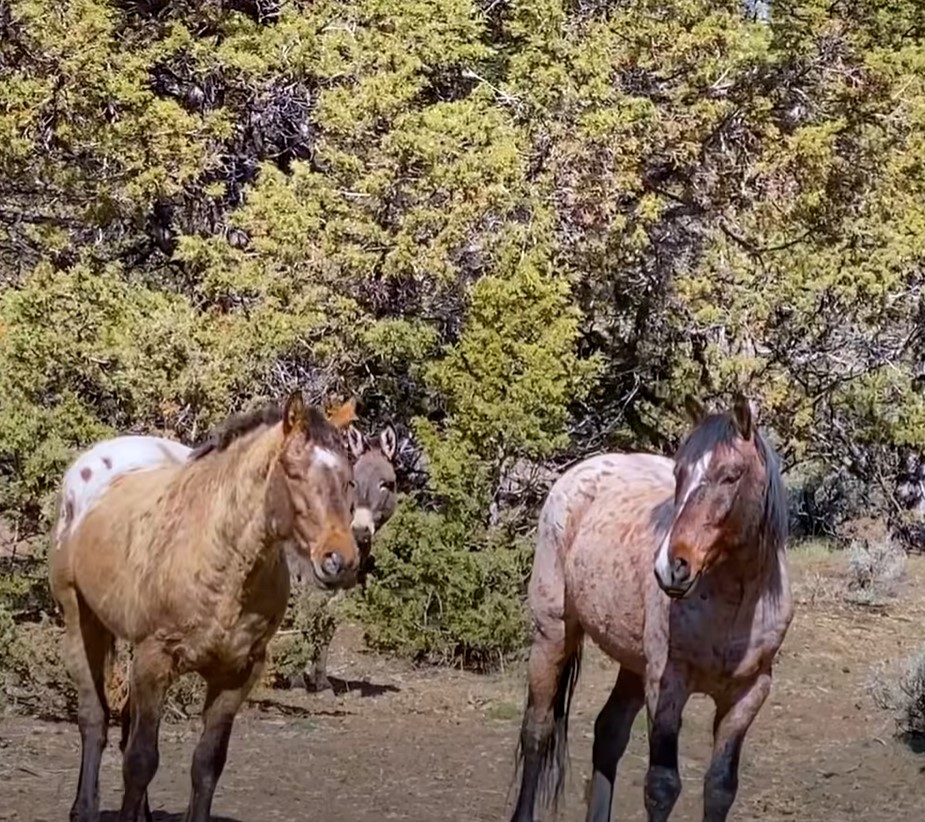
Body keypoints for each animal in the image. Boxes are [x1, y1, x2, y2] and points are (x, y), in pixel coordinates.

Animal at [48, 392, 360, 822]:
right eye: (294, 473)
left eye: (347, 479)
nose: (340, 561)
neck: (222, 560)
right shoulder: (155, 659)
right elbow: (140, 760)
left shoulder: (237, 674)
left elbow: (207, 765)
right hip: (82, 622)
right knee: (94, 718)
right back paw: (84, 809)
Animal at [508, 396, 792, 820]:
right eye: (679, 472)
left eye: (730, 476)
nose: (670, 567)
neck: (735, 605)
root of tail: (578, 472)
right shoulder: (667, 683)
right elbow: (662, 786)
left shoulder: (748, 694)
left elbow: (720, 787)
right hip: (552, 634)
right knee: (537, 731)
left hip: (632, 664)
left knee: (608, 732)